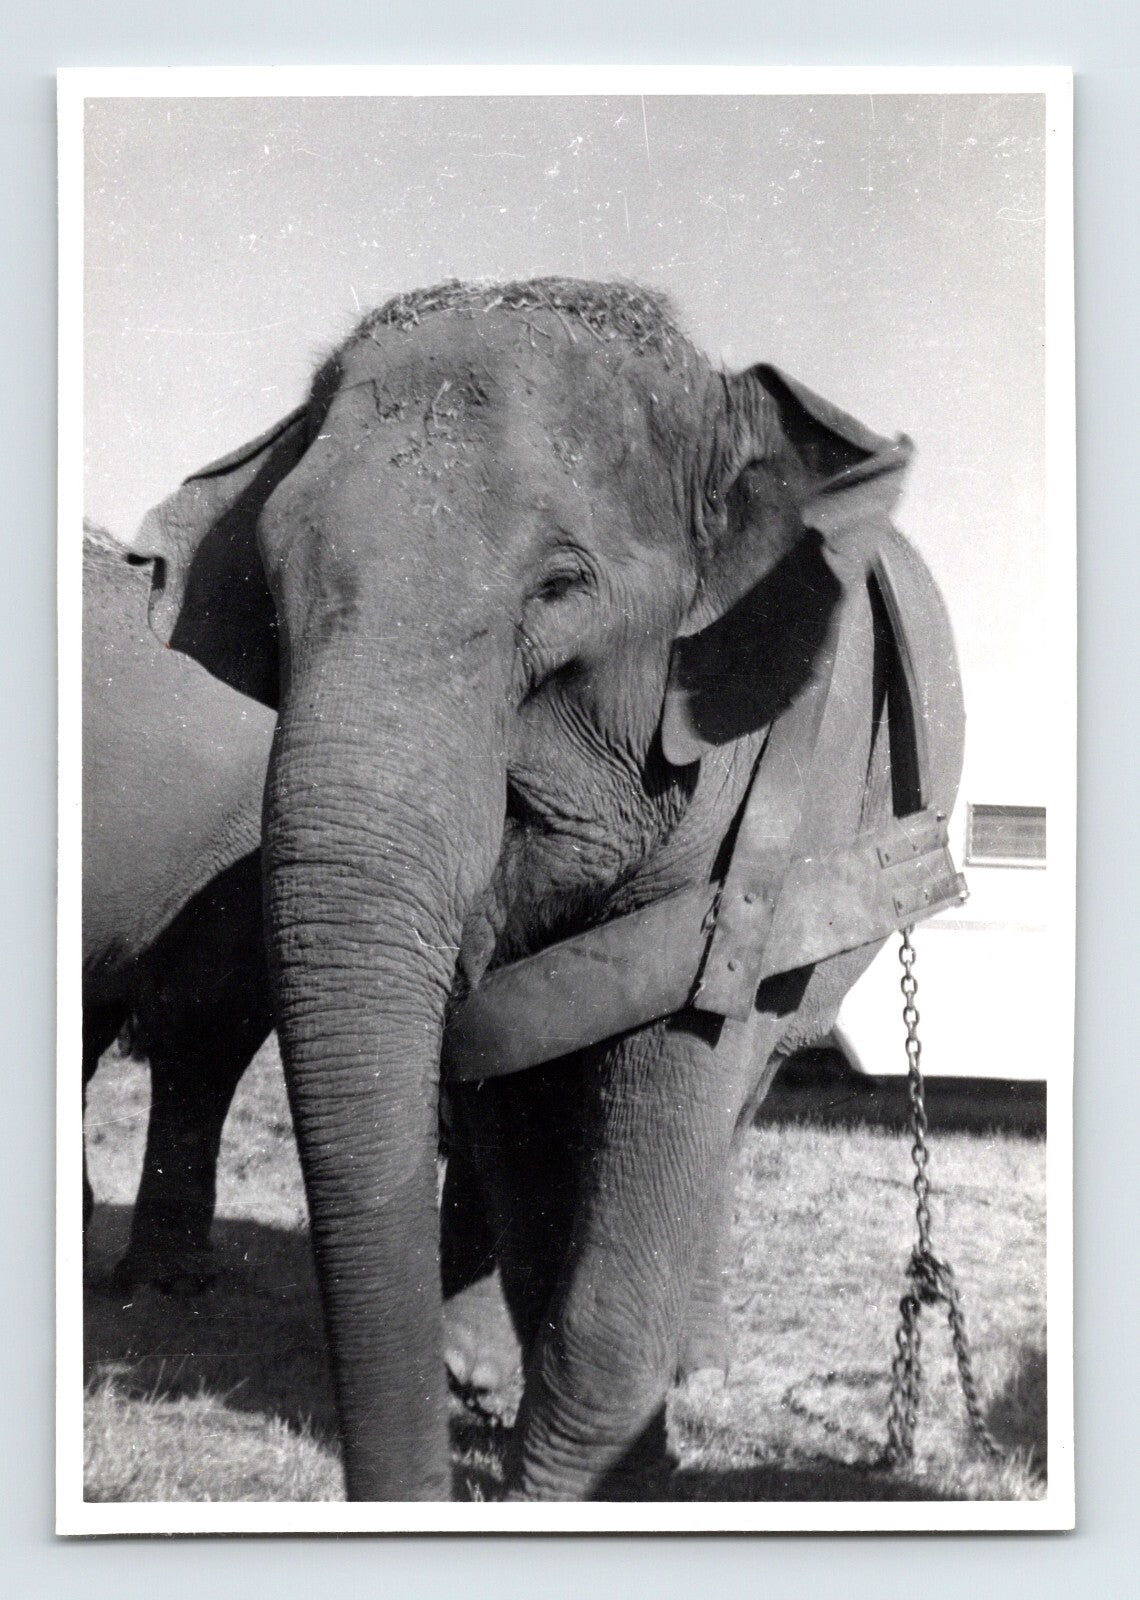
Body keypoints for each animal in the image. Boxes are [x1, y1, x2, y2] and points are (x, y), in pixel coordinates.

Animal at [135, 277, 964, 1500]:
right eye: (272, 605)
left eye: (561, 589)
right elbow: (511, 1052)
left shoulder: (777, 798)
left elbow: (676, 1066)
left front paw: (612, 1475)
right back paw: (481, 1372)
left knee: (738, 1102)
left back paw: (695, 1362)